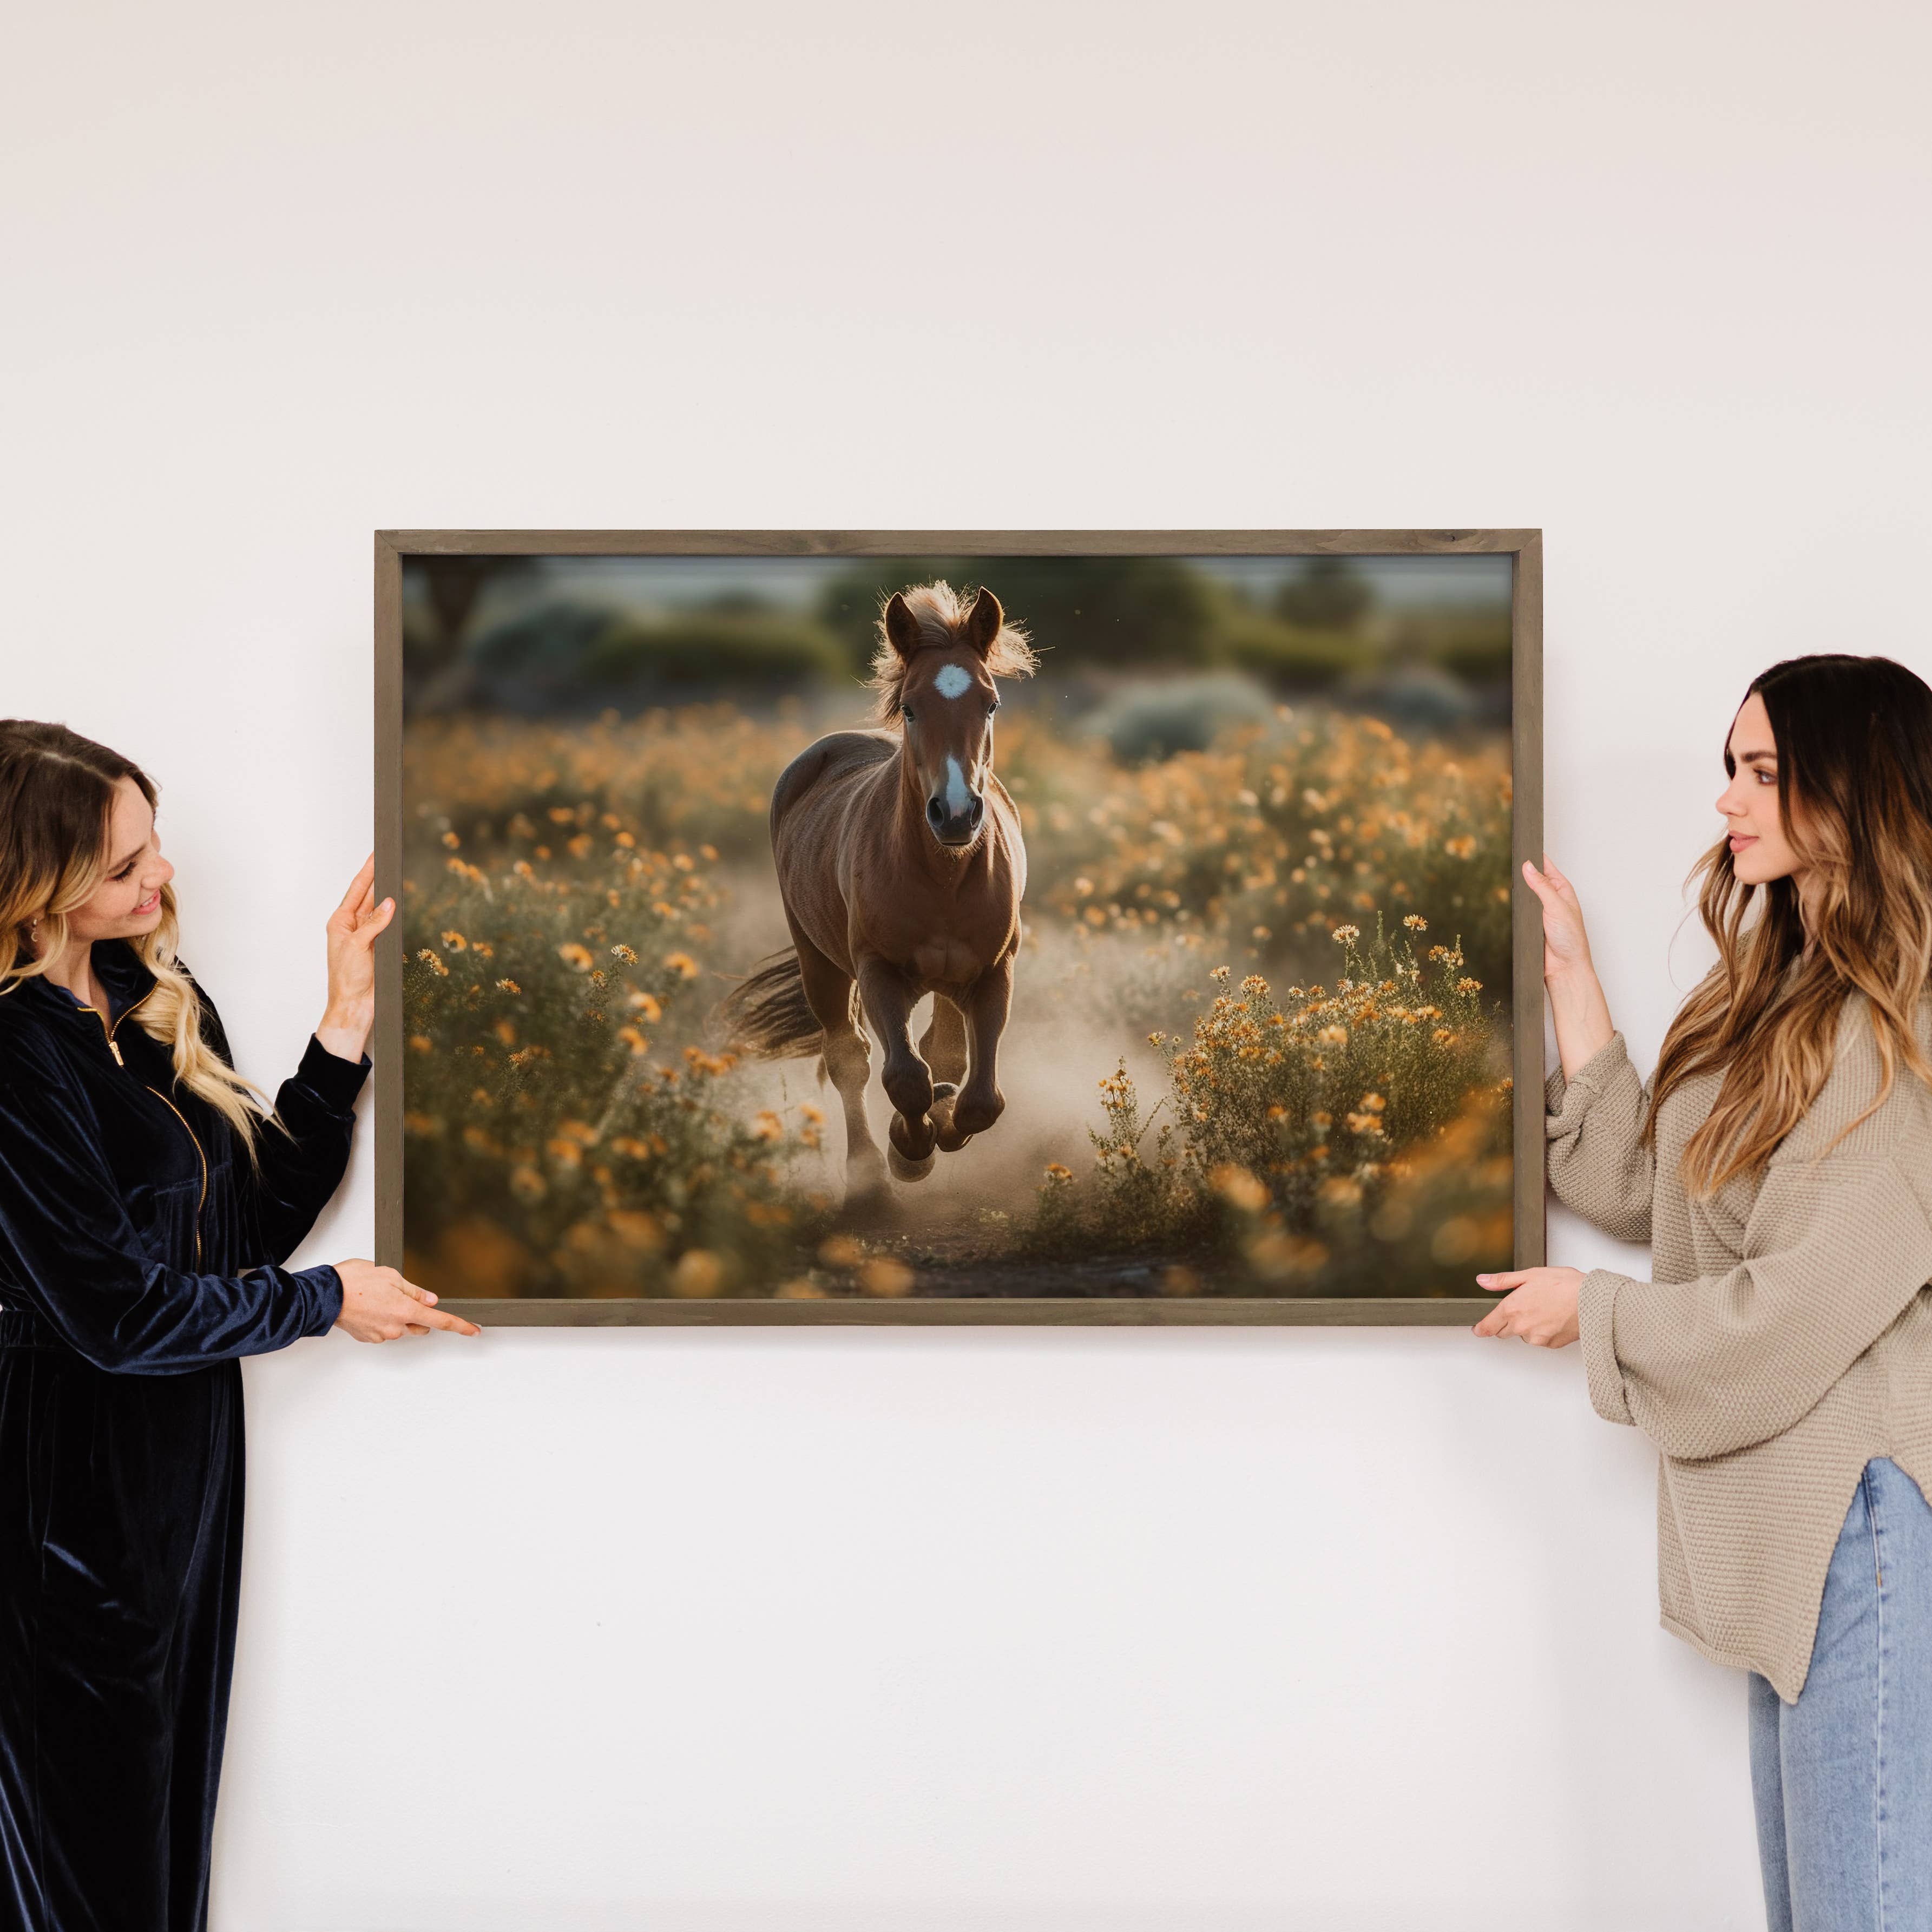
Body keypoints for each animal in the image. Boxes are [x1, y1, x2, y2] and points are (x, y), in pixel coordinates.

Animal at [726, 580, 1035, 1198]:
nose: (956, 813)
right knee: (850, 1056)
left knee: (941, 1053)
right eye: (911, 707)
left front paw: (944, 1124)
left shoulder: (994, 972)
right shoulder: (878, 972)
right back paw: (868, 1173)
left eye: (990, 703)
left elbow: (980, 1098)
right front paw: (908, 1149)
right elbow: (903, 1077)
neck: (943, 874)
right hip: (819, 962)